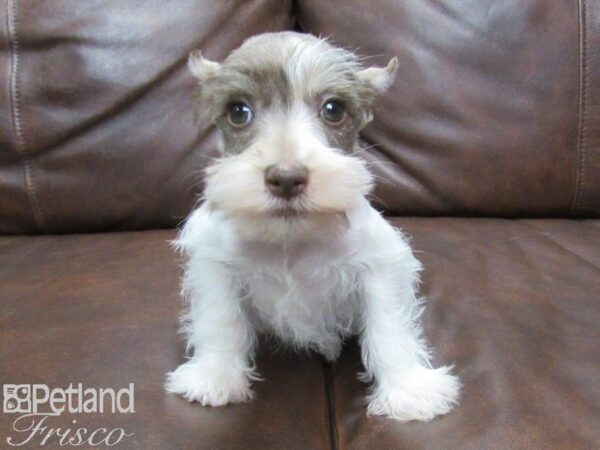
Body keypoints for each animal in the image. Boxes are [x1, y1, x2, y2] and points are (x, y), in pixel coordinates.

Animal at [165, 31, 460, 422]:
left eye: (333, 109)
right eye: (238, 111)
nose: (286, 178)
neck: (293, 240)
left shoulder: (379, 265)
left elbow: (389, 328)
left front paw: (409, 390)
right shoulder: (216, 264)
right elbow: (220, 320)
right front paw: (214, 376)